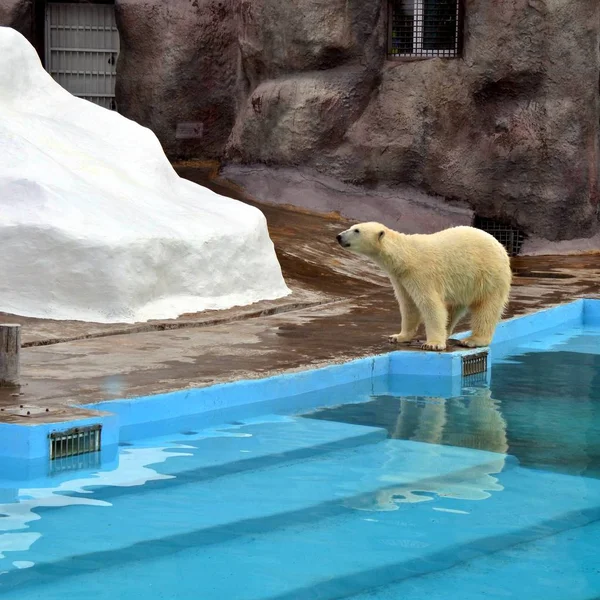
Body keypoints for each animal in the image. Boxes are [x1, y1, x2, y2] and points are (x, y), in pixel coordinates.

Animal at [338, 223, 510, 350]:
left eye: (356, 230)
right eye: (353, 227)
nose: (339, 236)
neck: (405, 256)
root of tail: (501, 247)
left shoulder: (421, 274)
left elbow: (430, 305)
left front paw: (433, 344)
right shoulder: (400, 278)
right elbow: (409, 306)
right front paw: (398, 337)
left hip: (489, 277)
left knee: (486, 309)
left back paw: (473, 340)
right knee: (453, 307)